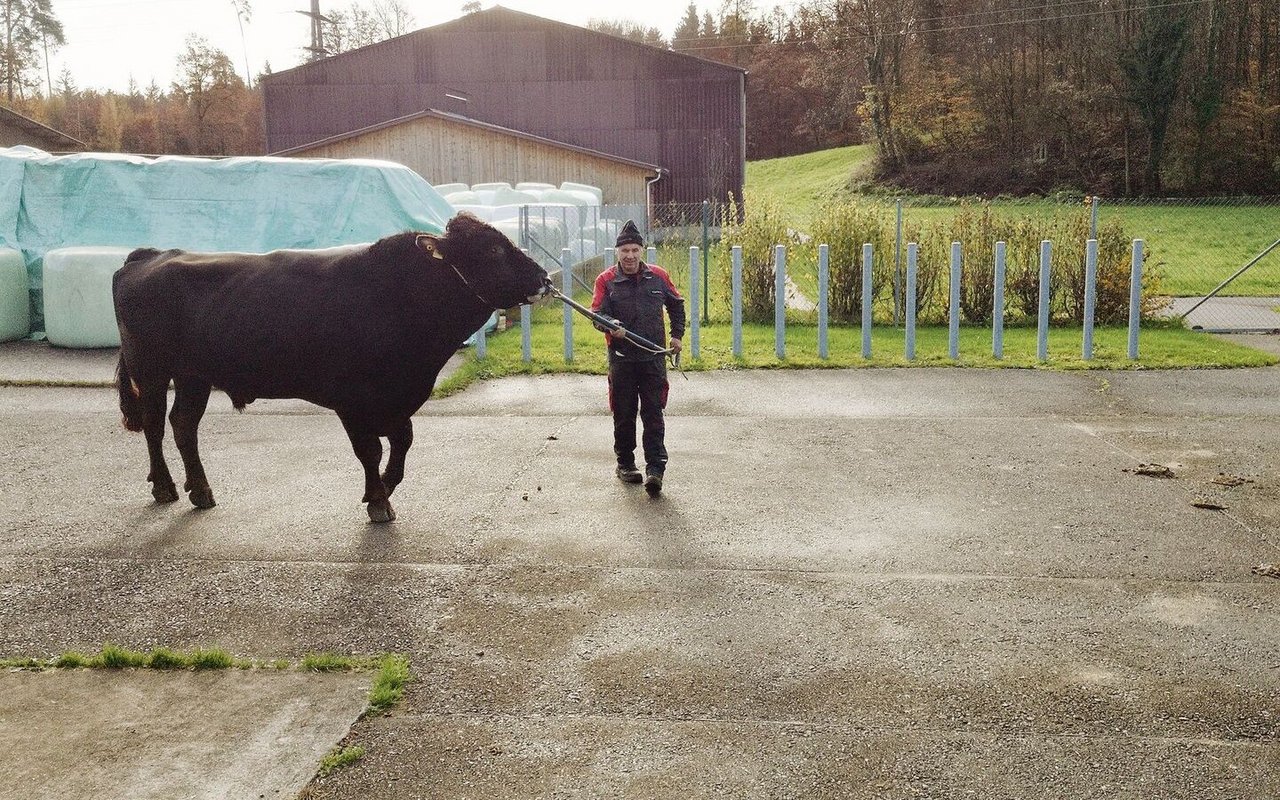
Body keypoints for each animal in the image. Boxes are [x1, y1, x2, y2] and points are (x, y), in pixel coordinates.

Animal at [112, 212, 547, 522]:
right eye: (493, 250)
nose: (543, 276)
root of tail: (152, 255)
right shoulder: (352, 401)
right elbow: (370, 449)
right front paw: (378, 501)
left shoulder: (397, 398)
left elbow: (402, 441)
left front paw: (383, 487)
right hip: (151, 371)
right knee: (154, 425)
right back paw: (164, 487)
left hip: (193, 376)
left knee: (184, 424)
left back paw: (200, 490)